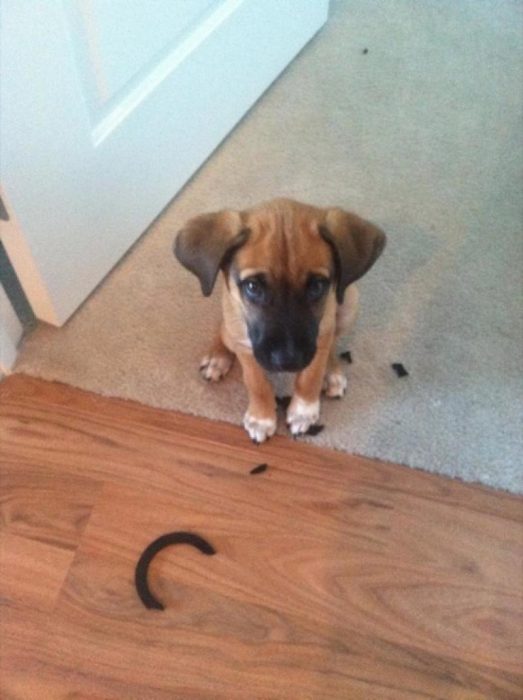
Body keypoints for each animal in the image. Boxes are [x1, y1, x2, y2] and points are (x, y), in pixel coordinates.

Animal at [175, 196, 384, 442]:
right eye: (253, 286)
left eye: (317, 286)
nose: (288, 361)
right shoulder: (246, 345)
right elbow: (256, 382)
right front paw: (262, 417)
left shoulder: (321, 332)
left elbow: (310, 375)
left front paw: (303, 411)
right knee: (223, 329)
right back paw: (218, 356)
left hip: (349, 300)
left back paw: (331, 372)